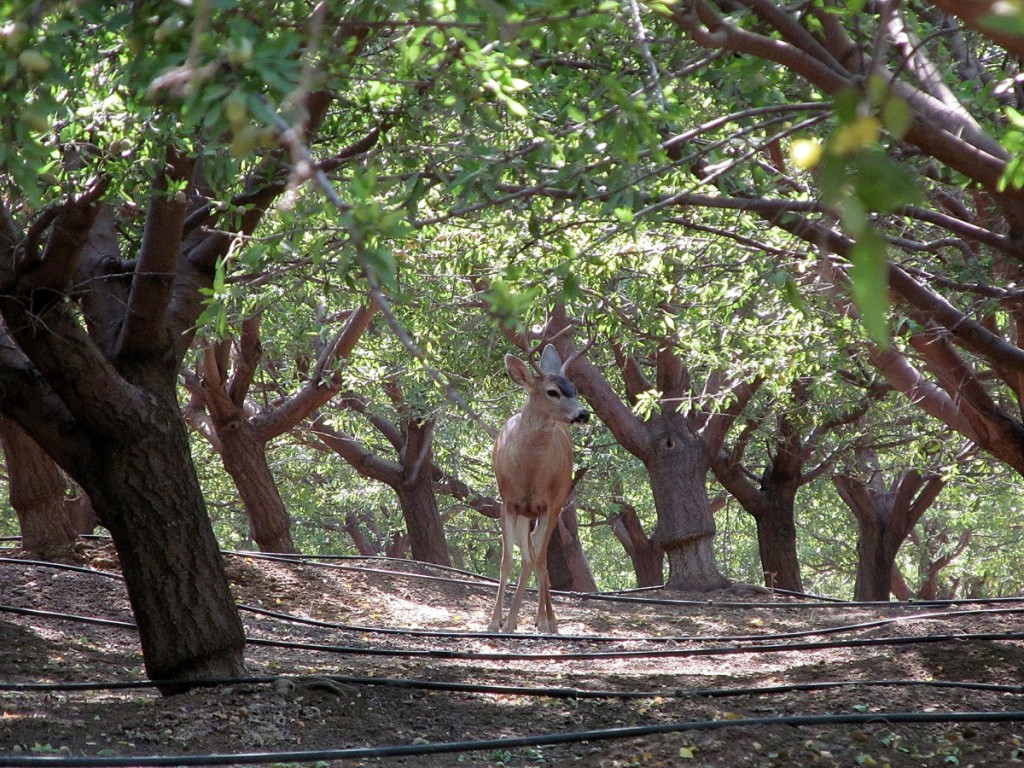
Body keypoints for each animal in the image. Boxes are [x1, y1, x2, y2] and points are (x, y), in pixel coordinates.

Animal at [489, 346, 589, 634]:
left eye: (575, 389)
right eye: (552, 391)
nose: (583, 414)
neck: (529, 476)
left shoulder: (549, 504)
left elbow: (536, 561)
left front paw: (520, 621)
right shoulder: (508, 502)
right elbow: (507, 561)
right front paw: (495, 621)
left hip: (556, 503)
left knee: (538, 557)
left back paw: (545, 620)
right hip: (524, 514)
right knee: (530, 551)